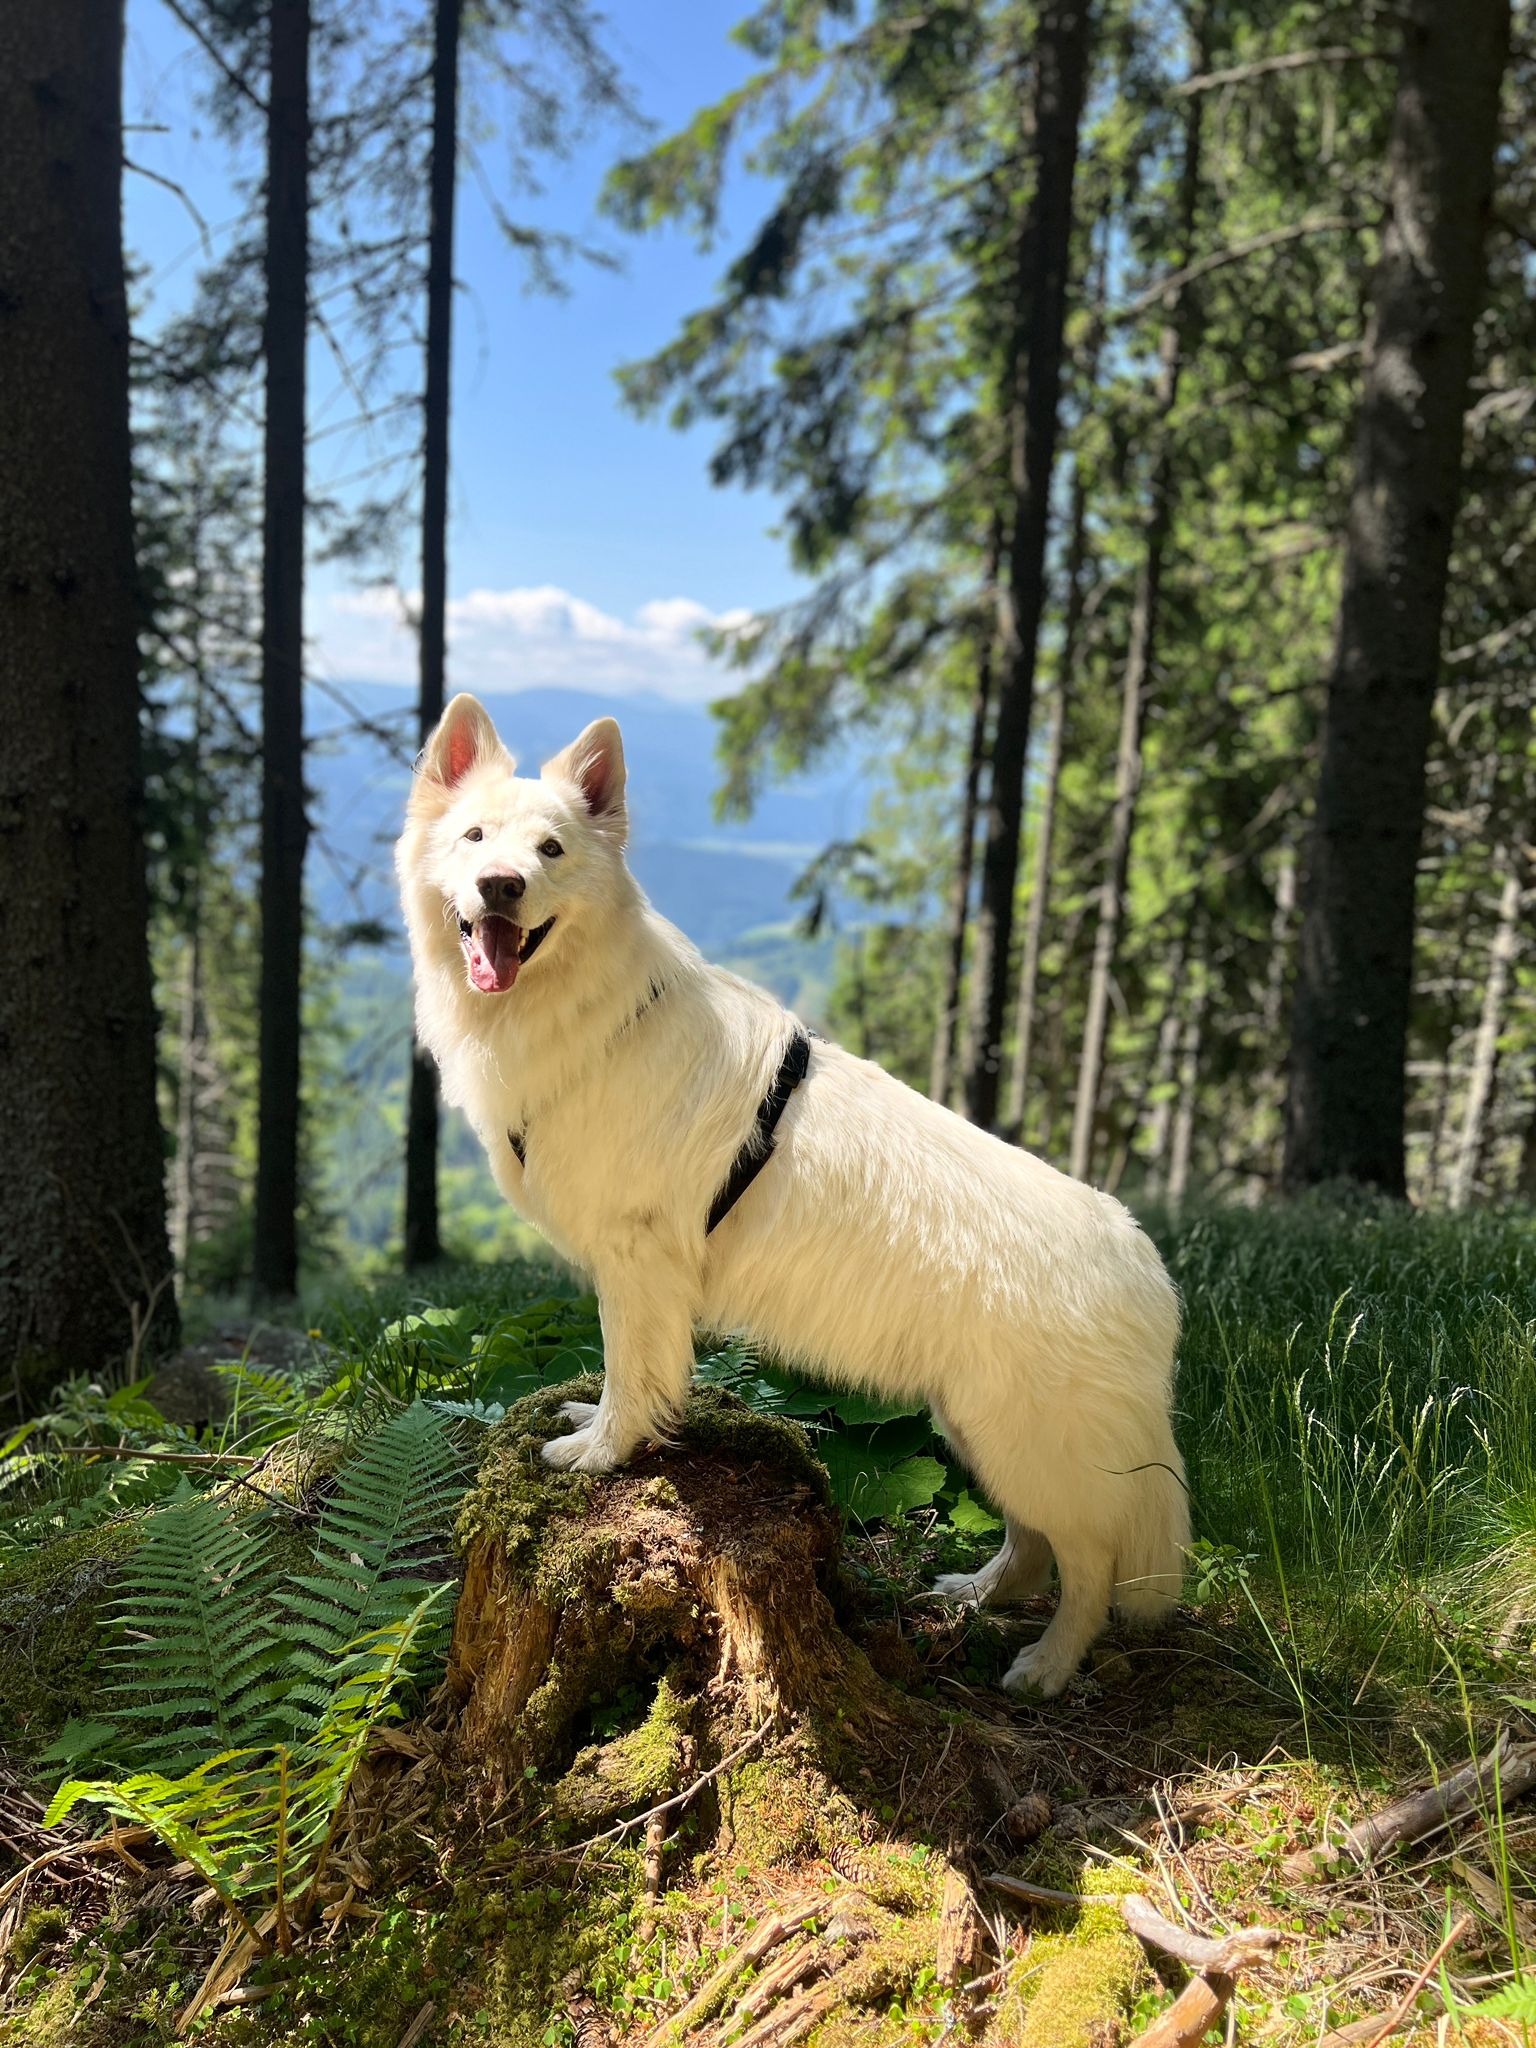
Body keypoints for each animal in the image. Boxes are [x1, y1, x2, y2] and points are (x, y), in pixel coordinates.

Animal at [397, 693, 1189, 1695]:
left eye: (551, 850)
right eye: (474, 837)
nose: (500, 886)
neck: (591, 1010)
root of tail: (1143, 1260)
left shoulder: (636, 1263)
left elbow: (629, 1373)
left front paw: (598, 1453)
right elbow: (635, 1374)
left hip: (1029, 1444)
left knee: (1087, 1560)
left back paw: (1046, 1665)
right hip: (980, 1429)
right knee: (1035, 1542)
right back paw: (977, 1595)